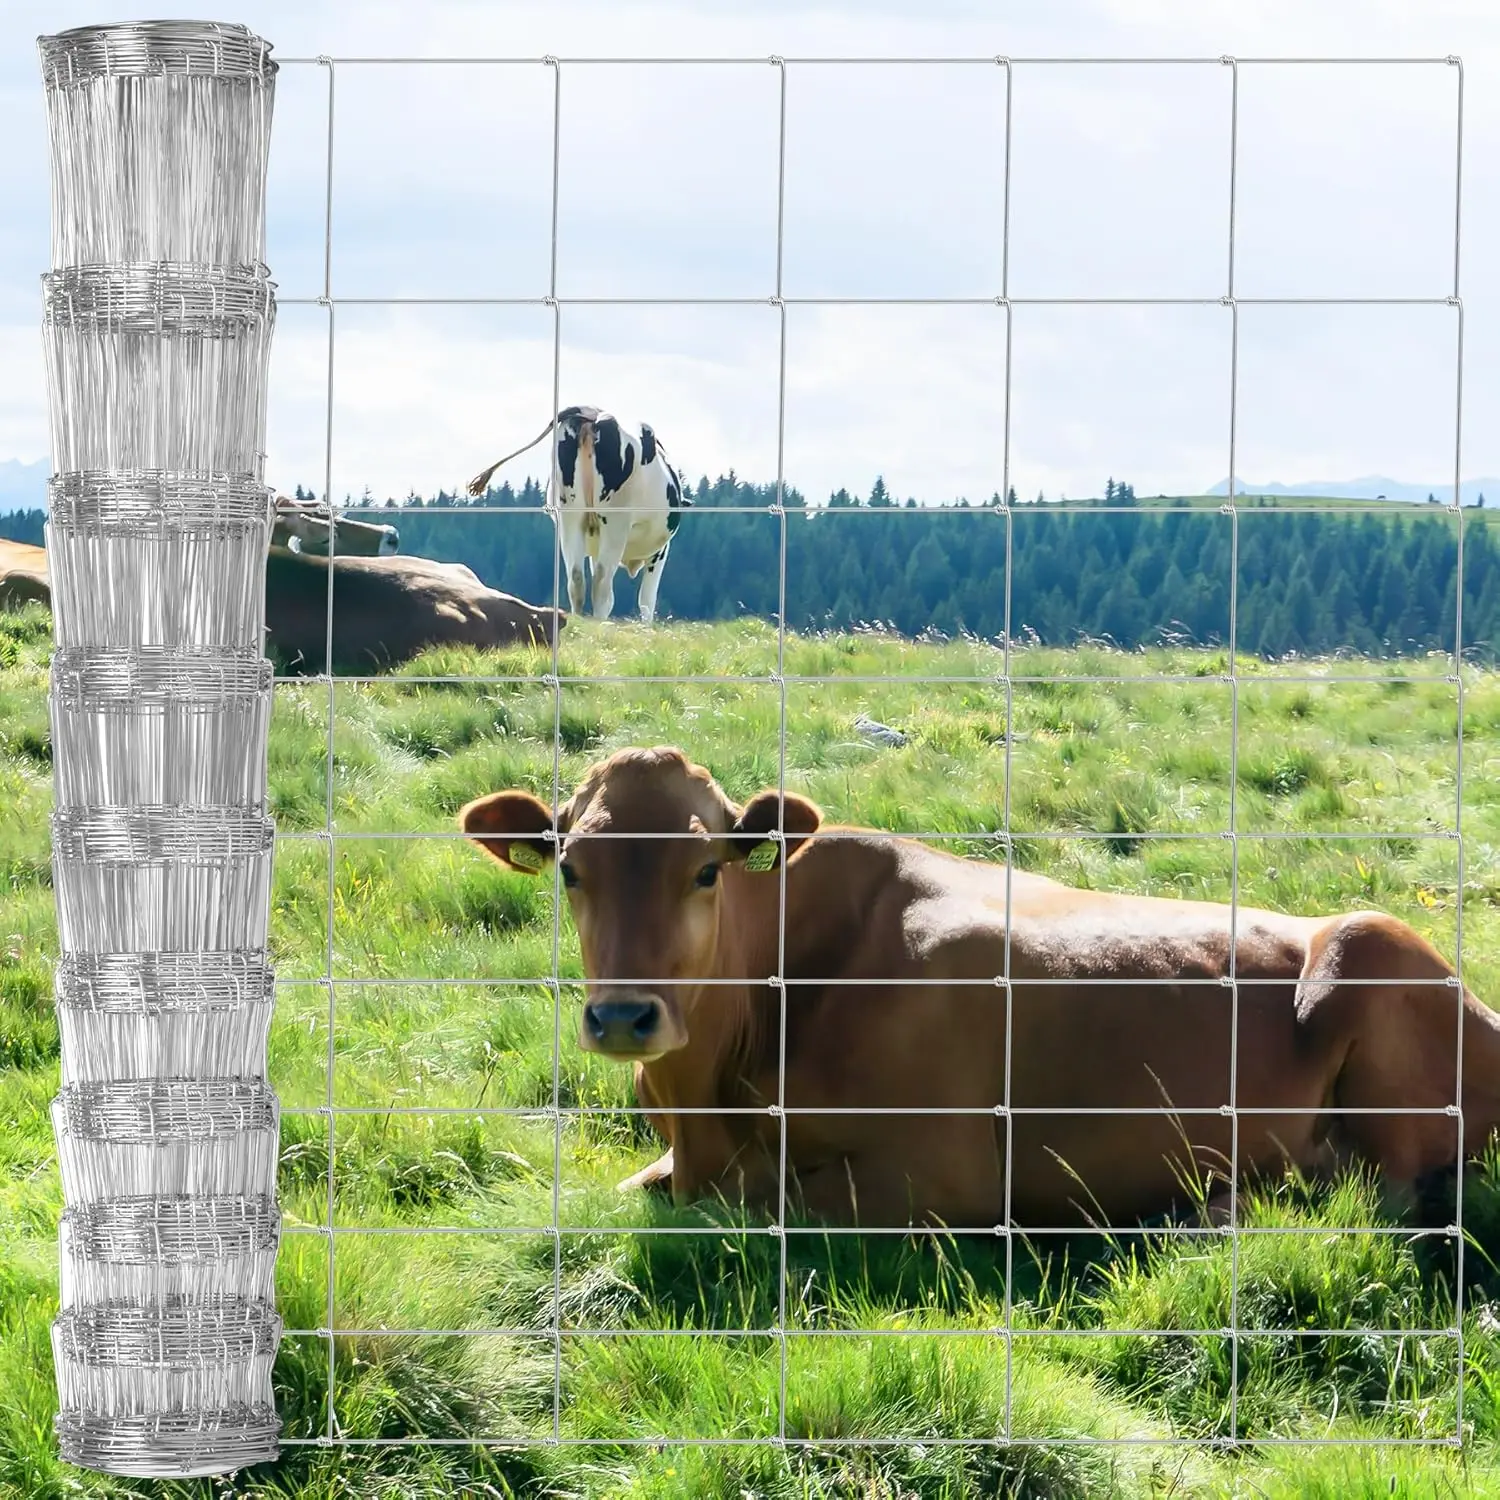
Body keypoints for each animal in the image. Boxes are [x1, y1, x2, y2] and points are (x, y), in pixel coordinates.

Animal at [459, 745, 1500, 1231]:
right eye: (569, 870)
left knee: (1385, 1188)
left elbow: (758, 1198)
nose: (624, 1017)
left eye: (708, 870)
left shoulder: (943, 1174)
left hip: (1368, 946)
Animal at [466, 405, 692, 623]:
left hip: (570, 516)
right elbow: (647, 600)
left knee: (576, 578)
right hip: (615, 520)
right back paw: (600, 623)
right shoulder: (660, 551)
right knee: (602, 582)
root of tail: (592, 412)